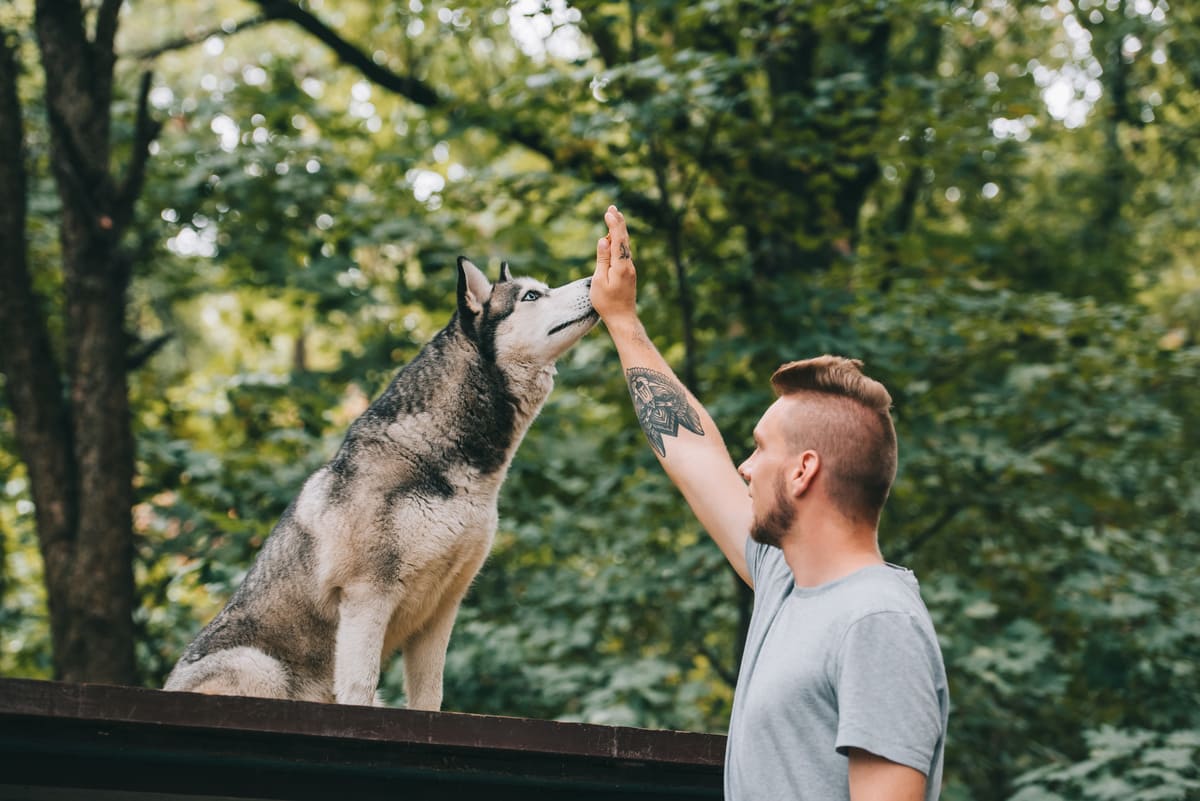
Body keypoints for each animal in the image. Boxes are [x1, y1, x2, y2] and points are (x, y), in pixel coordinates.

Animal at [166, 256, 597, 705]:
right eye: (531, 296)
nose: (594, 279)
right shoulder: (367, 596)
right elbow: (360, 685)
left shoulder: (442, 609)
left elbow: (429, 696)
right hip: (260, 666)